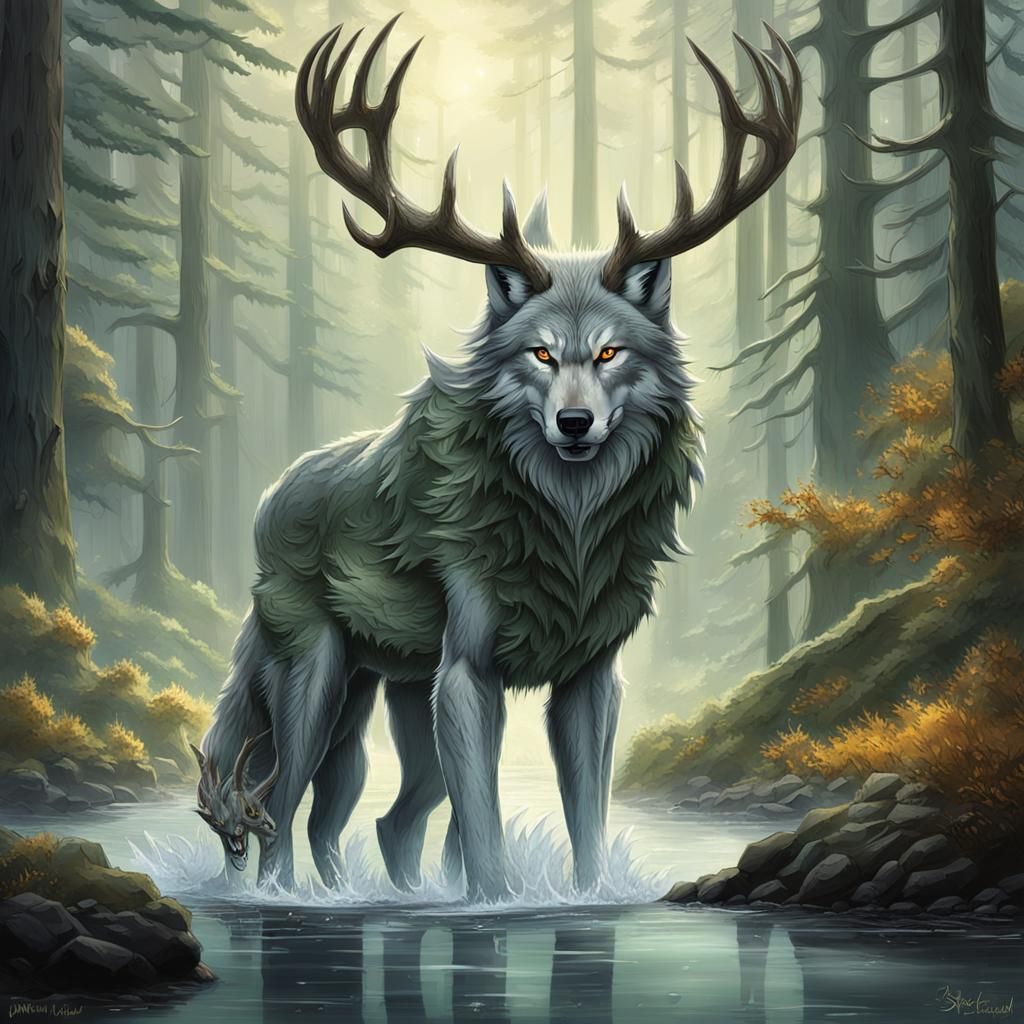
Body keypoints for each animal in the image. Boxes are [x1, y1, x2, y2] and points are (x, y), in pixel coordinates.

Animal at [195, 17, 800, 900]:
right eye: (540, 354)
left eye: (610, 351)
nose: (575, 424)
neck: (569, 533)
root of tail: (270, 498)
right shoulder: (469, 674)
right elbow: (483, 833)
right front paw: (493, 904)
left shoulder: (591, 676)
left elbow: (587, 820)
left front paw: (584, 900)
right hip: (315, 677)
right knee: (278, 806)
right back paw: (284, 895)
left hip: (386, 697)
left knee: (371, 819)